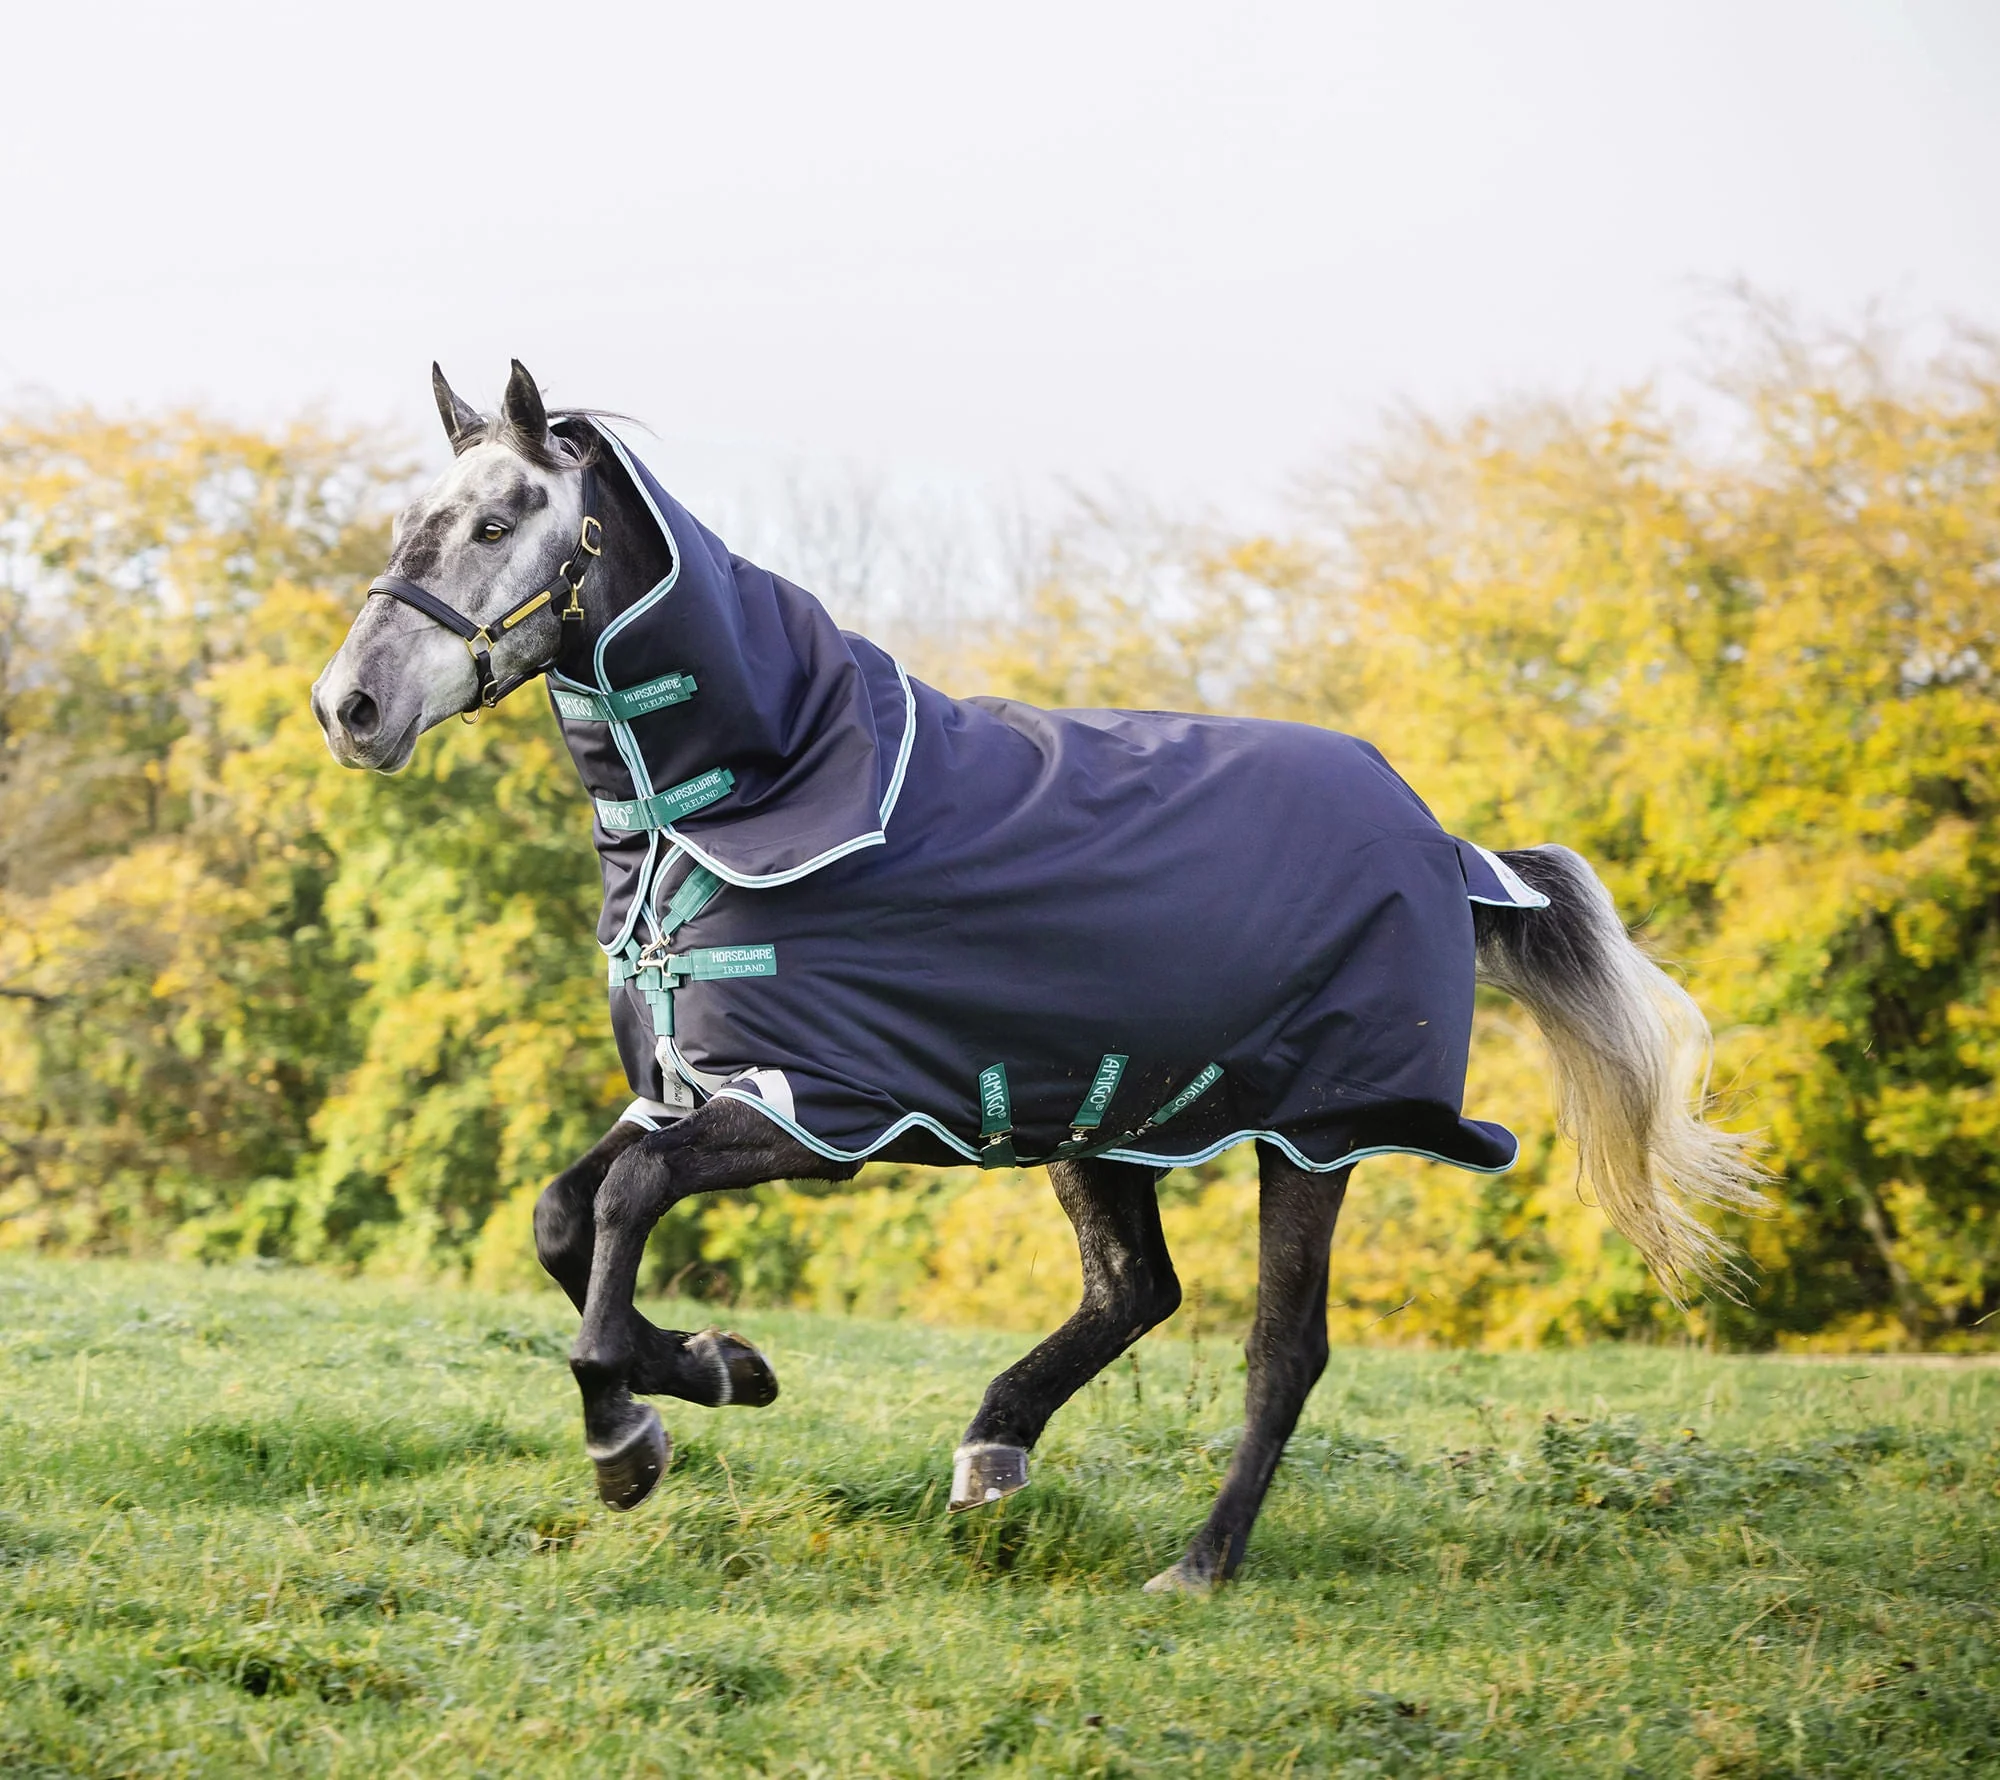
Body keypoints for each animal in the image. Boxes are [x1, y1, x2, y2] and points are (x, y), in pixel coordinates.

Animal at [311, 361, 1764, 1592]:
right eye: (413, 517)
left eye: (498, 519)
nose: (351, 706)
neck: (752, 793)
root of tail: (1444, 843)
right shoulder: (691, 1091)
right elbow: (565, 1216)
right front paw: (723, 1371)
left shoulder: (809, 1110)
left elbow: (622, 1204)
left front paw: (629, 1432)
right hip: (1098, 1114)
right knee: (1135, 1290)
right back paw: (993, 1448)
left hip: (1316, 1132)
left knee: (1281, 1348)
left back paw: (1200, 1562)